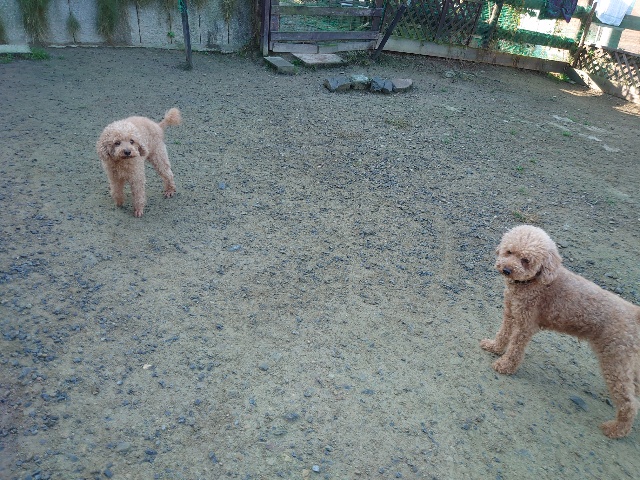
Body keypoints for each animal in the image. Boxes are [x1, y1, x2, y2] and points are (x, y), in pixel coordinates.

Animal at [480, 224, 640, 438]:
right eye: (509, 252)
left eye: (526, 260)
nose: (506, 269)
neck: (532, 282)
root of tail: (634, 313)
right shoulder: (510, 312)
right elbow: (503, 333)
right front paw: (494, 347)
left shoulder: (525, 324)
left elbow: (515, 349)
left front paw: (505, 366)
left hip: (615, 358)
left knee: (630, 404)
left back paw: (615, 429)